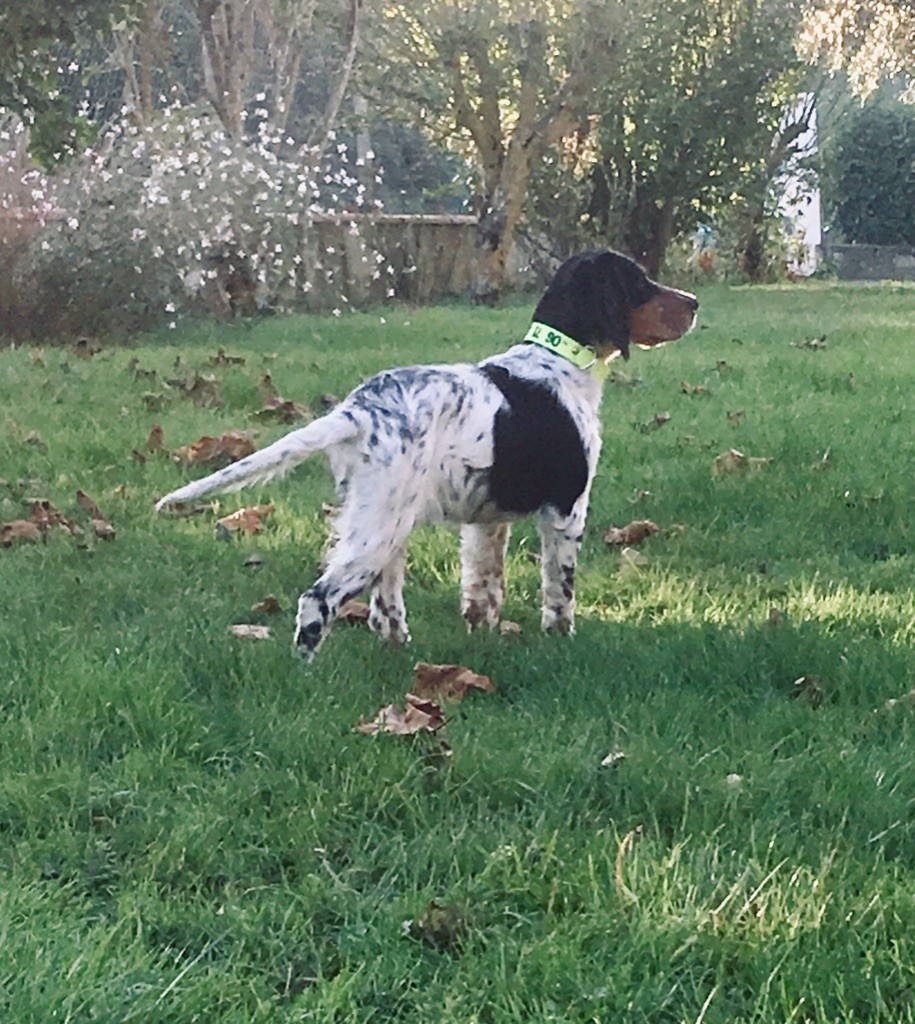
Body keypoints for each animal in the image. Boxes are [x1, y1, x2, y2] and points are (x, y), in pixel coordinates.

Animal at [157, 251, 700, 659]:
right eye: (639, 282)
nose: (694, 302)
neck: (557, 360)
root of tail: (357, 410)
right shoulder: (567, 509)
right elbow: (558, 588)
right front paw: (560, 639)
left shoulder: (486, 520)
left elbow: (483, 586)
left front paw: (483, 636)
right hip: (381, 523)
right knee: (319, 600)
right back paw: (304, 670)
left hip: (387, 519)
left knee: (384, 605)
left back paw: (399, 647)